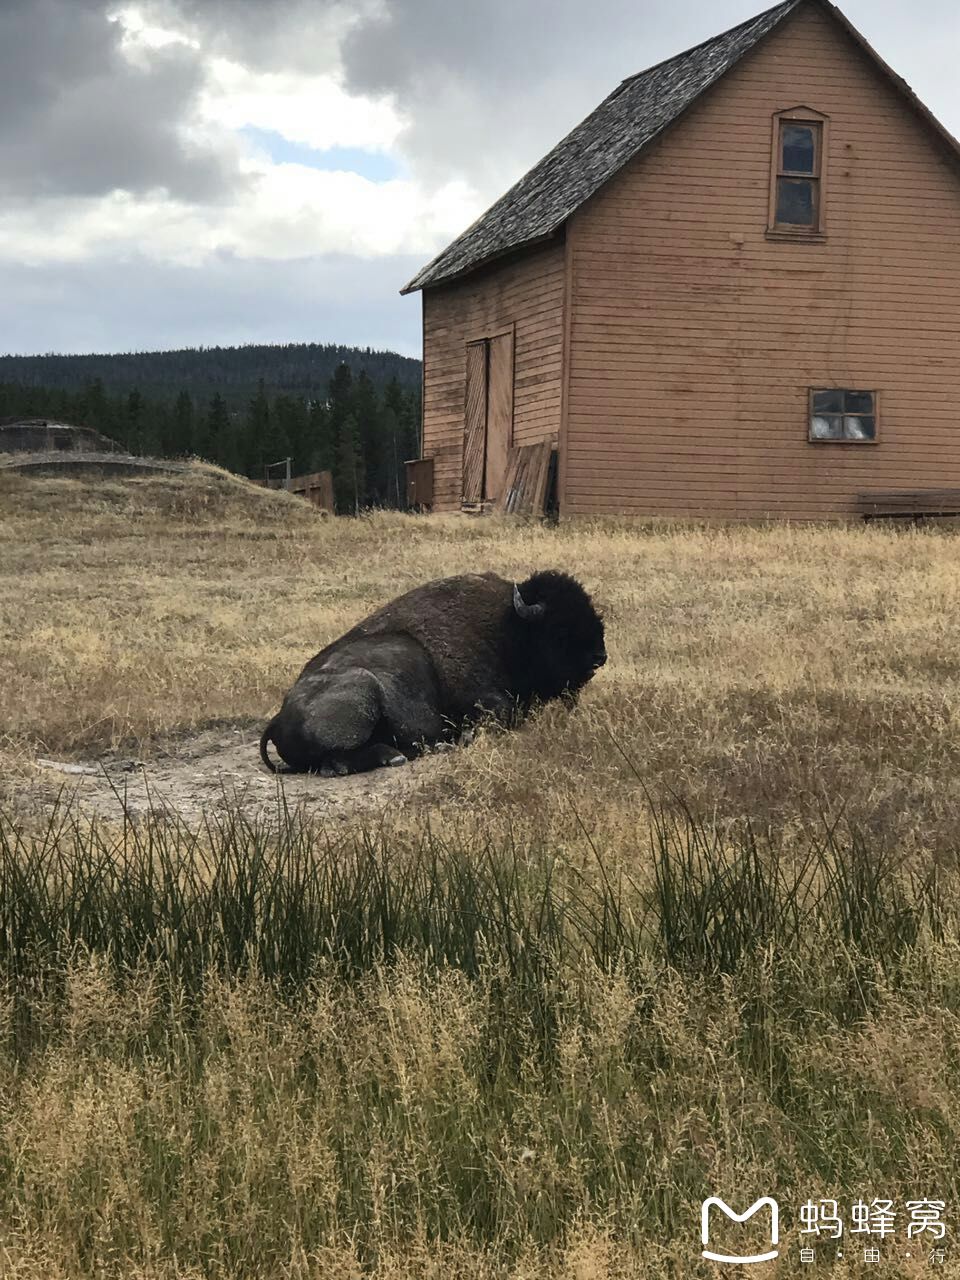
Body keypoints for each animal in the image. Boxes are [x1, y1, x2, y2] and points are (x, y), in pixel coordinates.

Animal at [259, 565, 604, 773]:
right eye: (560, 629)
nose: (600, 657)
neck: (508, 628)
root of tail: (277, 719)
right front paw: (467, 736)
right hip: (363, 688)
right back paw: (397, 755)